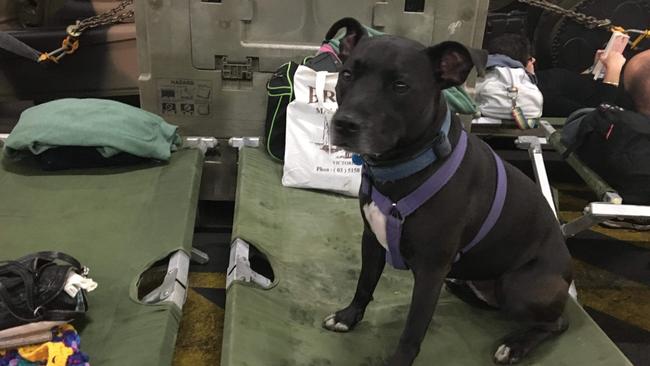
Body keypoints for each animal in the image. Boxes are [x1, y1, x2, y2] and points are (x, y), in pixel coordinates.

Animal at [322, 17, 568, 366]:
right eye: (347, 74)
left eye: (401, 86)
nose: (344, 124)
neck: (406, 166)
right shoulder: (371, 239)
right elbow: (365, 283)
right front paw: (348, 317)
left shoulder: (431, 270)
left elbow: (413, 328)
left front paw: (399, 359)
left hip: (520, 286)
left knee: (556, 322)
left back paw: (515, 345)